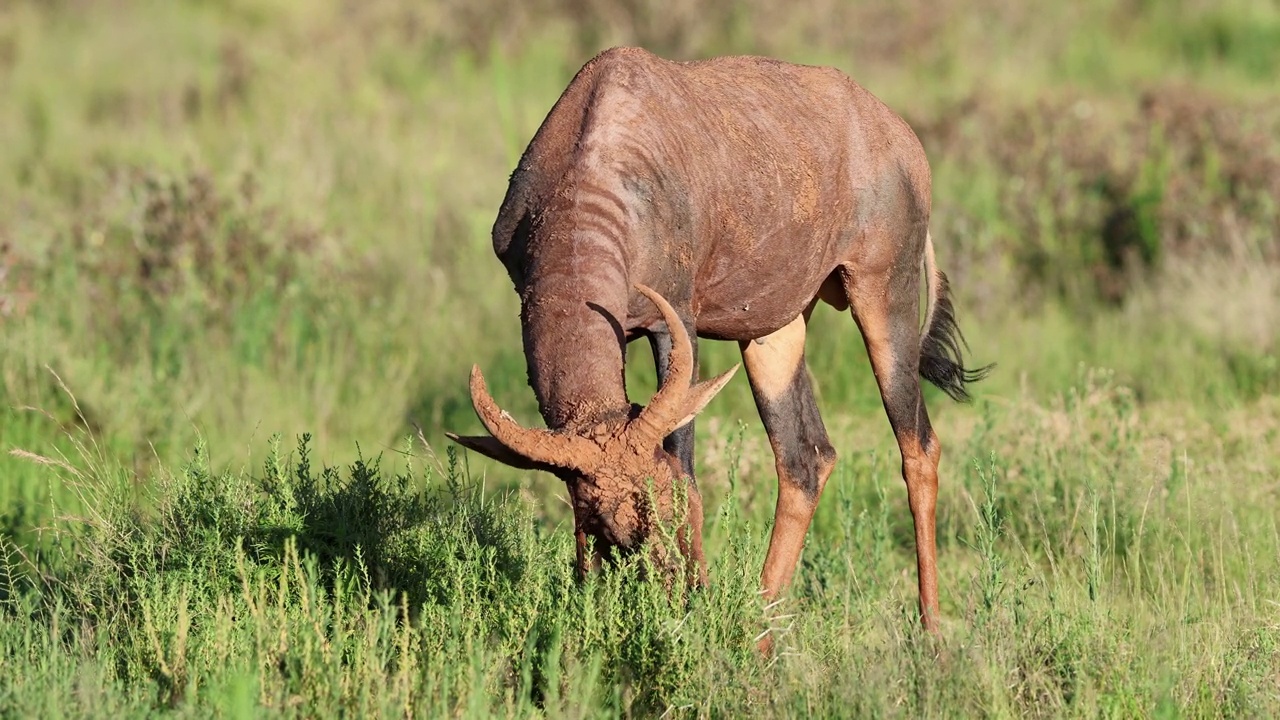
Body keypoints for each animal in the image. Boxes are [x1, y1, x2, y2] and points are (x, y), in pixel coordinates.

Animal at [445, 46, 993, 627]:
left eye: (669, 503)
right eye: (605, 527)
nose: (684, 599)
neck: (600, 151)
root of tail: (897, 133)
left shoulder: (673, 322)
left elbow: (689, 462)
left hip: (882, 291)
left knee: (919, 447)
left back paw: (930, 629)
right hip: (775, 329)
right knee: (805, 459)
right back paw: (761, 631)